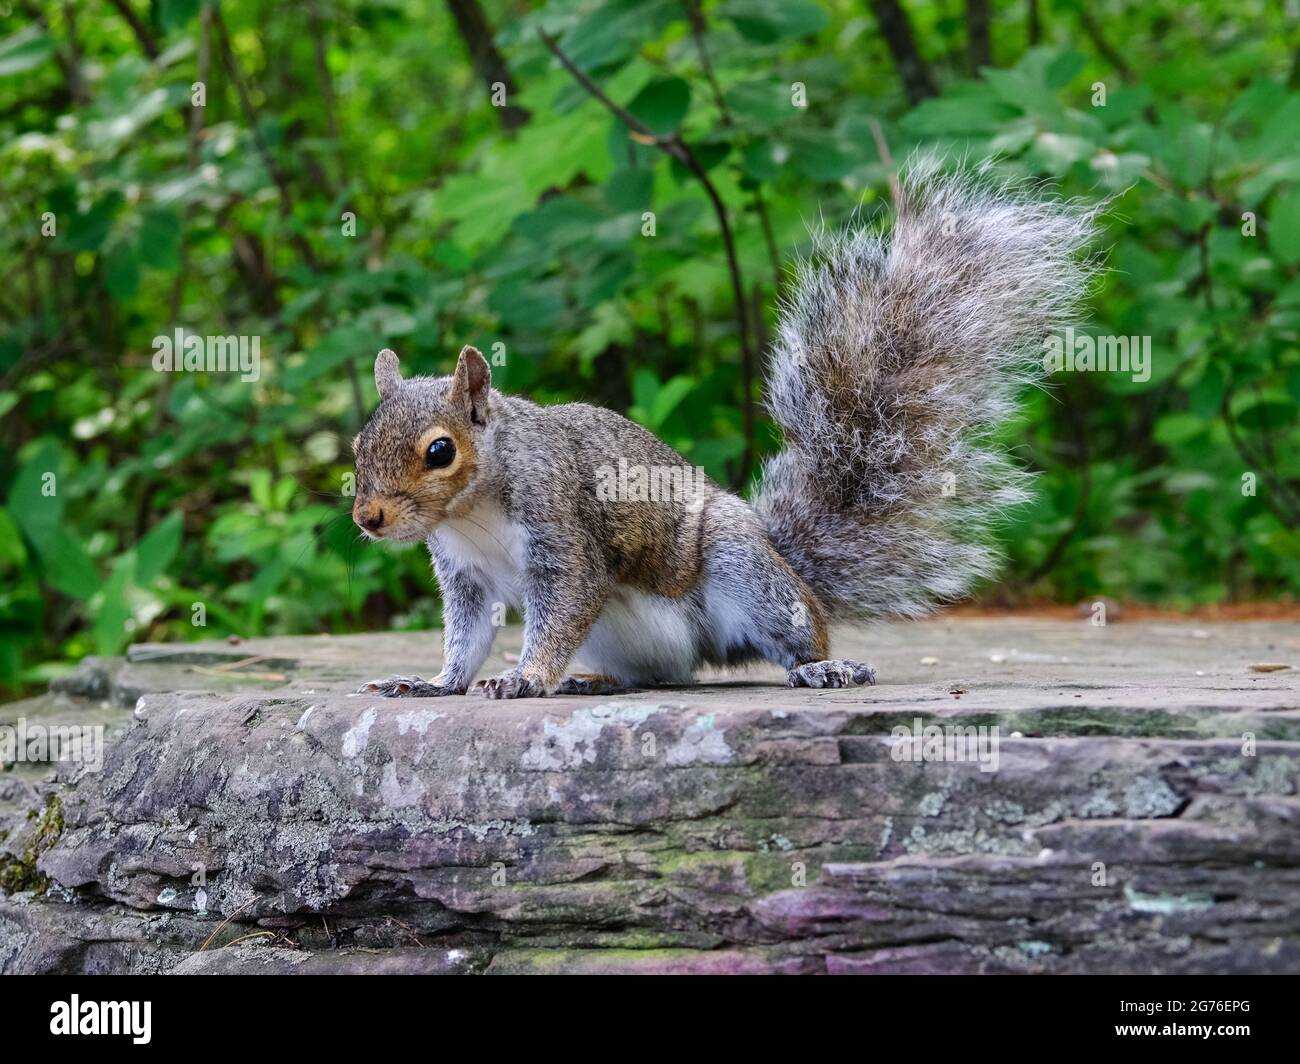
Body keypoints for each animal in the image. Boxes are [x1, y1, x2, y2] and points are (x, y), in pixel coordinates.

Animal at [351, 158, 1097, 699]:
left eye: (440, 451)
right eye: (359, 445)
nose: (368, 518)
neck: (471, 513)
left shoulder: (563, 532)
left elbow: (563, 608)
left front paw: (528, 677)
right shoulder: (465, 578)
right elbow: (466, 638)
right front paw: (435, 681)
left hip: (744, 569)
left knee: (798, 632)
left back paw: (824, 667)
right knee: (660, 675)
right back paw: (597, 682)